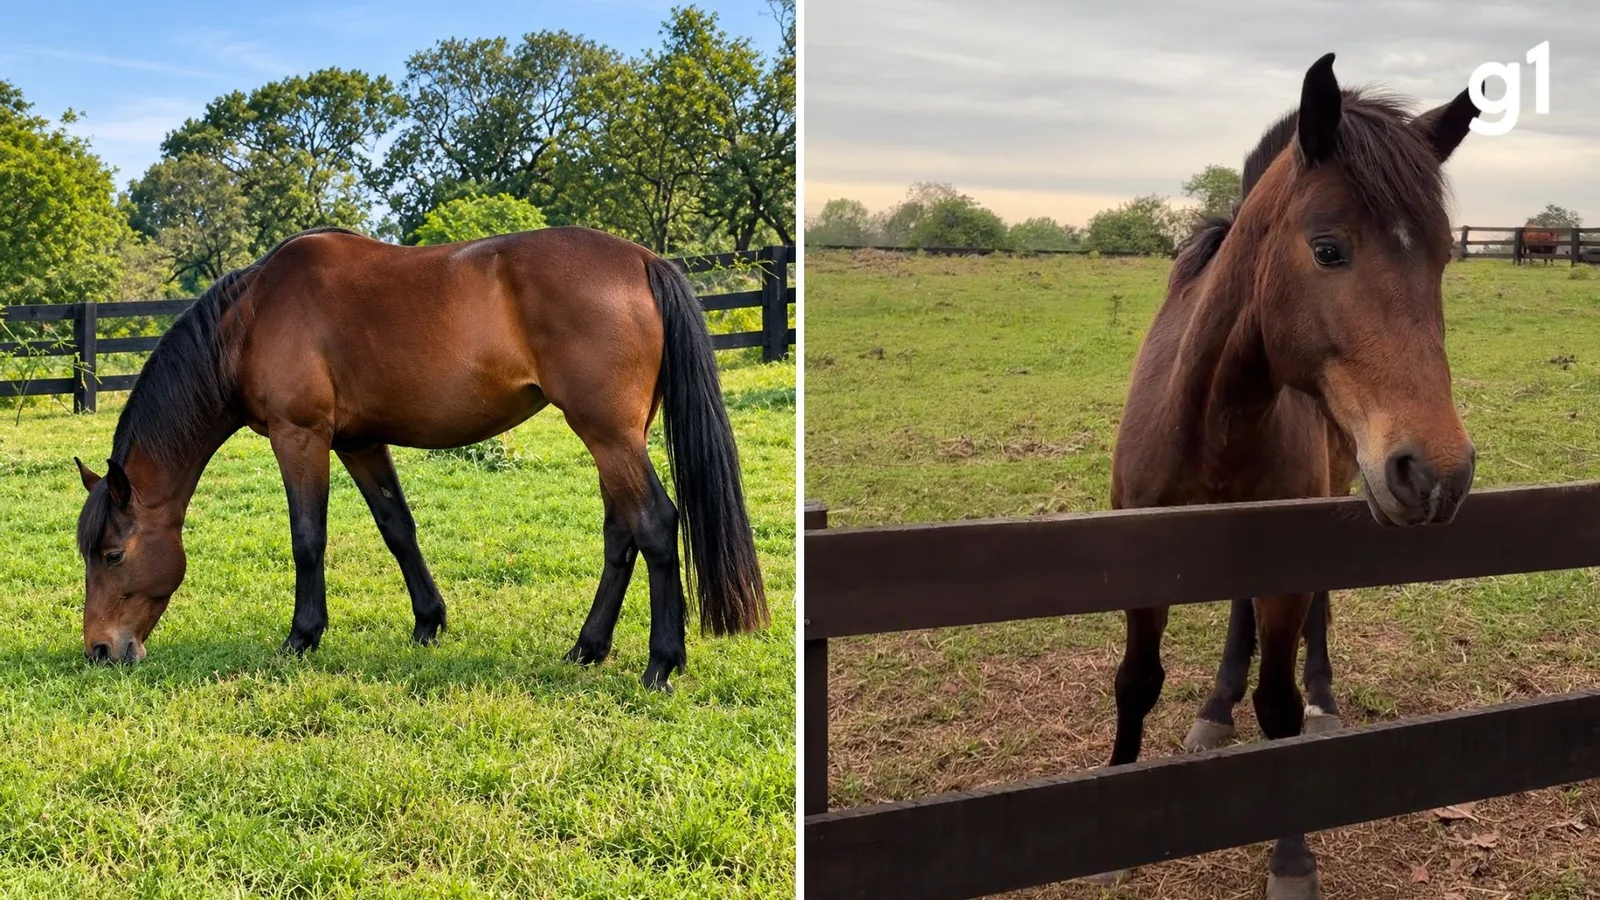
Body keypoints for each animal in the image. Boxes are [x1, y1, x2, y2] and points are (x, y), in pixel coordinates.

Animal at [73, 225, 768, 691]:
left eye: (113, 555)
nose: (100, 650)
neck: (249, 319)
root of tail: (645, 260)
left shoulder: (301, 436)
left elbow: (307, 538)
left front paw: (302, 636)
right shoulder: (359, 441)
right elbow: (397, 528)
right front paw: (428, 622)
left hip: (609, 435)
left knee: (653, 524)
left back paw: (661, 662)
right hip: (617, 438)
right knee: (620, 533)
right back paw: (587, 647)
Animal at [1097, 54, 1480, 897]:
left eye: (1443, 257)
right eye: (1329, 248)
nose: (1438, 473)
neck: (1208, 419)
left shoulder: (1287, 556)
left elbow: (1279, 708)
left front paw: (1292, 857)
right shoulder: (1141, 556)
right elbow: (1137, 677)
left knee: (1316, 618)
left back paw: (1321, 702)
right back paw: (1215, 708)